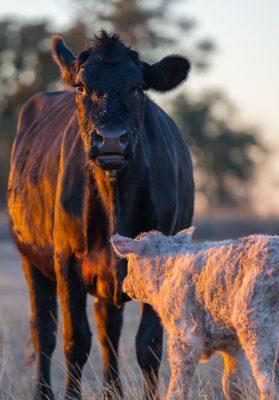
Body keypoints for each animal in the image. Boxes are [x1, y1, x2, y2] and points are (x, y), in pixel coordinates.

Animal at [7, 32, 195, 400]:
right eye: (81, 86)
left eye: (138, 87)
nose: (110, 139)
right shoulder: (66, 261)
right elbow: (75, 341)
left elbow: (148, 345)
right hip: (30, 258)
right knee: (44, 332)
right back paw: (43, 392)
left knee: (110, 330)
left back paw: (112, 392)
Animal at [111, 228, 279, 400]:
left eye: (130, 261)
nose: (125, 286)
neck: (167, 272)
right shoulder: (232, 343)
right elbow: (233, 385)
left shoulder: (185, 336)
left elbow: (178, 387)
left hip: (256, 326)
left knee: (268, 383)